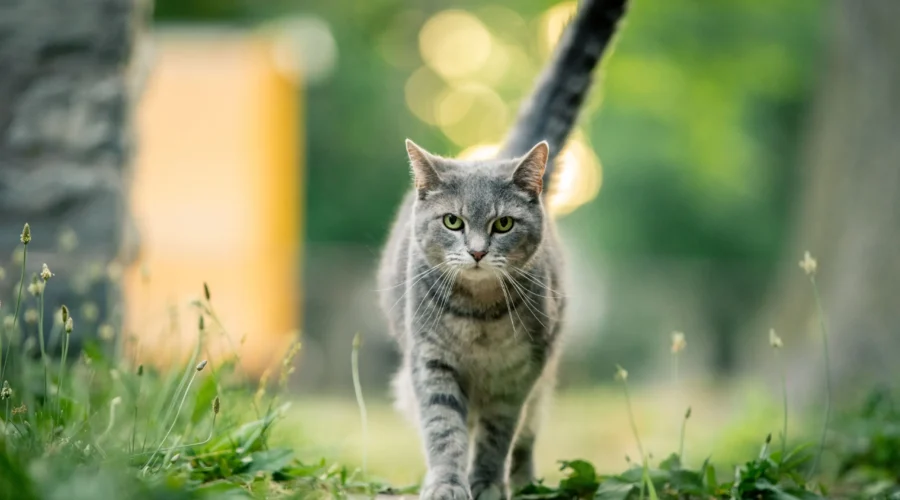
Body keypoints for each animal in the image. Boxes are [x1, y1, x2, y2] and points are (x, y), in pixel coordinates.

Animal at [376, 1, 628, 498]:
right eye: (453, 221)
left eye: (503, 224)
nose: (476, 252)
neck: (479, 318)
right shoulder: (430, 363)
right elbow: (444, 430)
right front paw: (447, 483)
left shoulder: (520, 375)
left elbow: (498, 436)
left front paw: (489, 483)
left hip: (543, 383)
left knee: (527, 435)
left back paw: (525, 480)